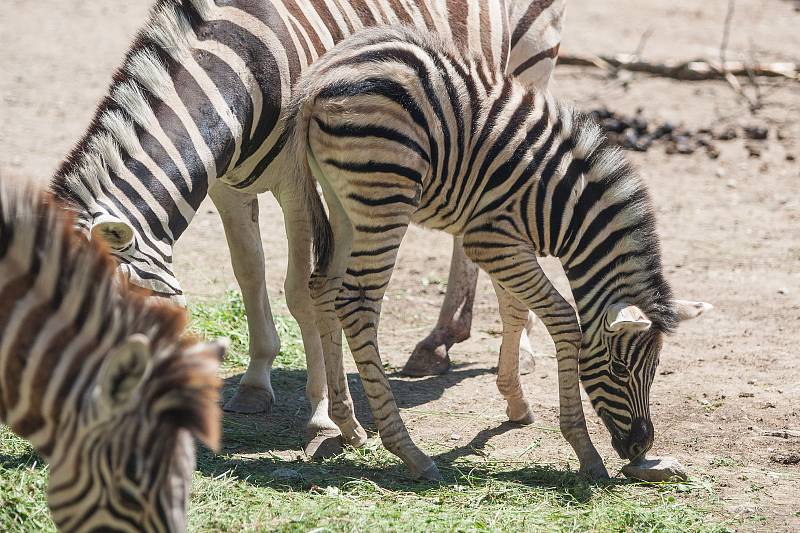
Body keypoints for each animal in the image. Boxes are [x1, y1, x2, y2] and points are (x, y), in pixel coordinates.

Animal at [47, 0, 564, 456]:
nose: (79, 421)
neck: (243, 73)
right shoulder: (226, 186)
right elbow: (249, 272)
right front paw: (256, 384)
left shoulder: (298, 183)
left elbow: (300, 291)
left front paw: (321, 414)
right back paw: (440, 341)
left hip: (526, 64)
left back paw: (515, 352)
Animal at [286, 26, 712, 478]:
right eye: (617, 368)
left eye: (658, 369)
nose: (640, 446)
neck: (561, 205)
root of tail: (319, 81)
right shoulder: (491, 239)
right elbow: (564, 320)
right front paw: (583, 449)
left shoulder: (506, 244)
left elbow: (515, 312)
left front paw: (516, 403)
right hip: (386, 198)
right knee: (357, 303)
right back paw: (409, 451)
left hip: (344, 203)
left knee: (324, 288)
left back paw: (349, 426)